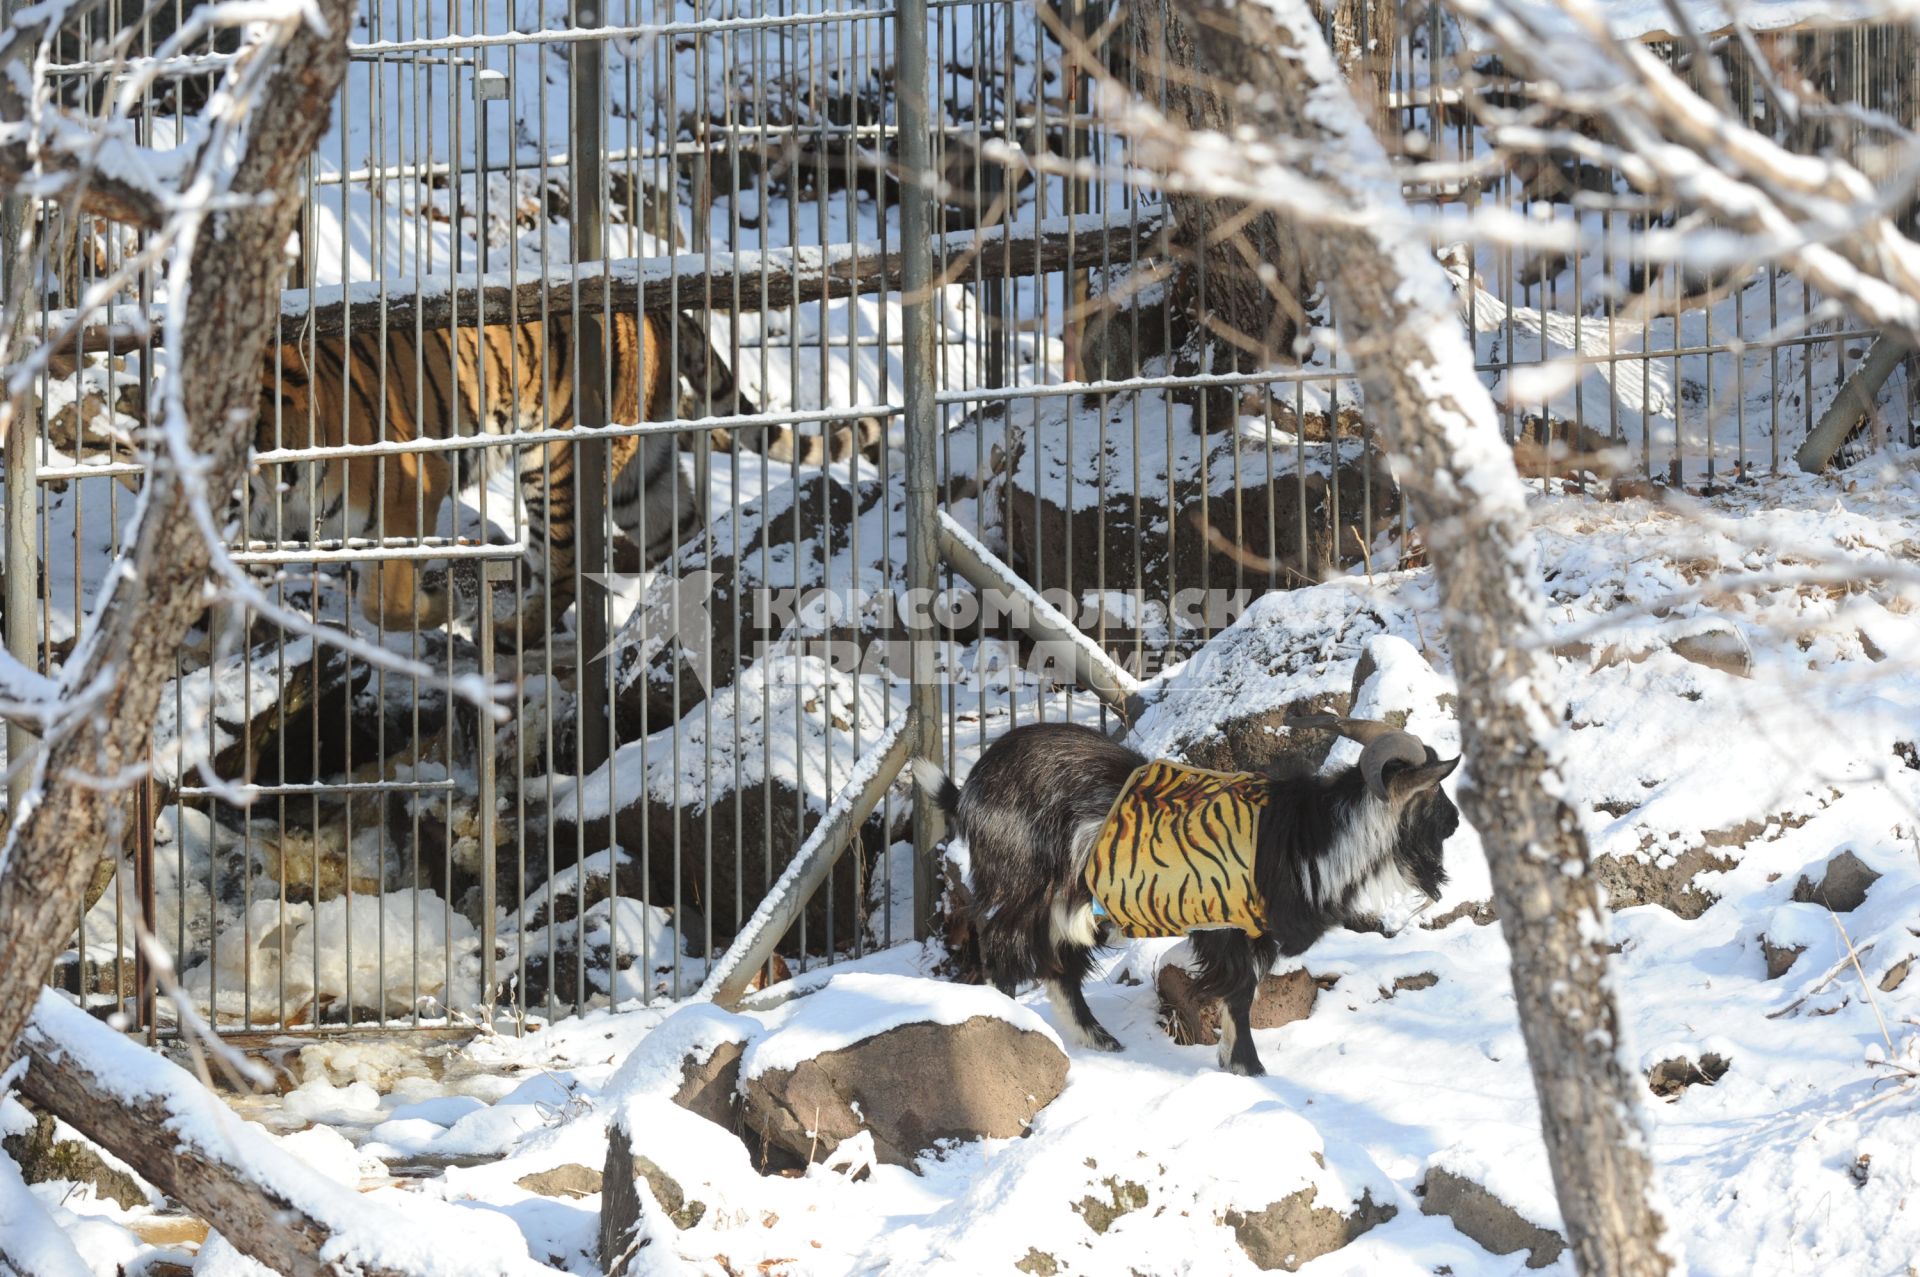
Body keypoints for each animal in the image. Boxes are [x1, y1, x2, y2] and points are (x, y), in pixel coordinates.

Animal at [249, 309, 883, 637]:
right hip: (642, 480)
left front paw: (448, 606)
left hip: (555, 461)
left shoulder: (412, 484)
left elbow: (387, 602)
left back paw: (511, 631)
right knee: (682, 535)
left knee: (564, 566)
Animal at [913, 722, 1451, 1067]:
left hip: (1069, 900)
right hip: (1023, 885)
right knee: (1001, 945)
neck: (1306, 836)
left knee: (1059, 965)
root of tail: (968, 789)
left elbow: (1241, 997)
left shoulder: (1248, 931)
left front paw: (1234, 1063)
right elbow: (1239, 995)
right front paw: (1249, 1068)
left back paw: (1100, 1041)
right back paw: (1011, 1027)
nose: (1456, 821)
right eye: (1435, 792)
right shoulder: (1226, 925)